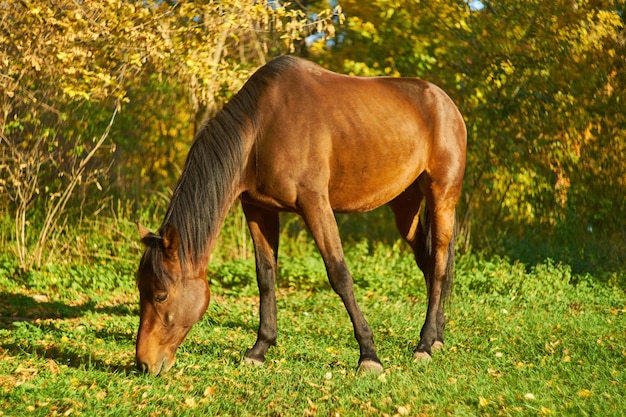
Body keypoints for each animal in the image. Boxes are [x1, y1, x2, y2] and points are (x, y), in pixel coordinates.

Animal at [134, 53, 464, 376]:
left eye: (161, 294)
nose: (144, 364)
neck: (261, 130)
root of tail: (444, 101)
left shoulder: (315, 204)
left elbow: (339, 274)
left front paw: (369, 355)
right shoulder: (259, 209)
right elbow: (266, 276)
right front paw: (259, 349)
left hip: (442, 197)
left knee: (438, 265)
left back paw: (424, 345)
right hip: (405, 208)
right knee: (428, 261)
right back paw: (437, 337)